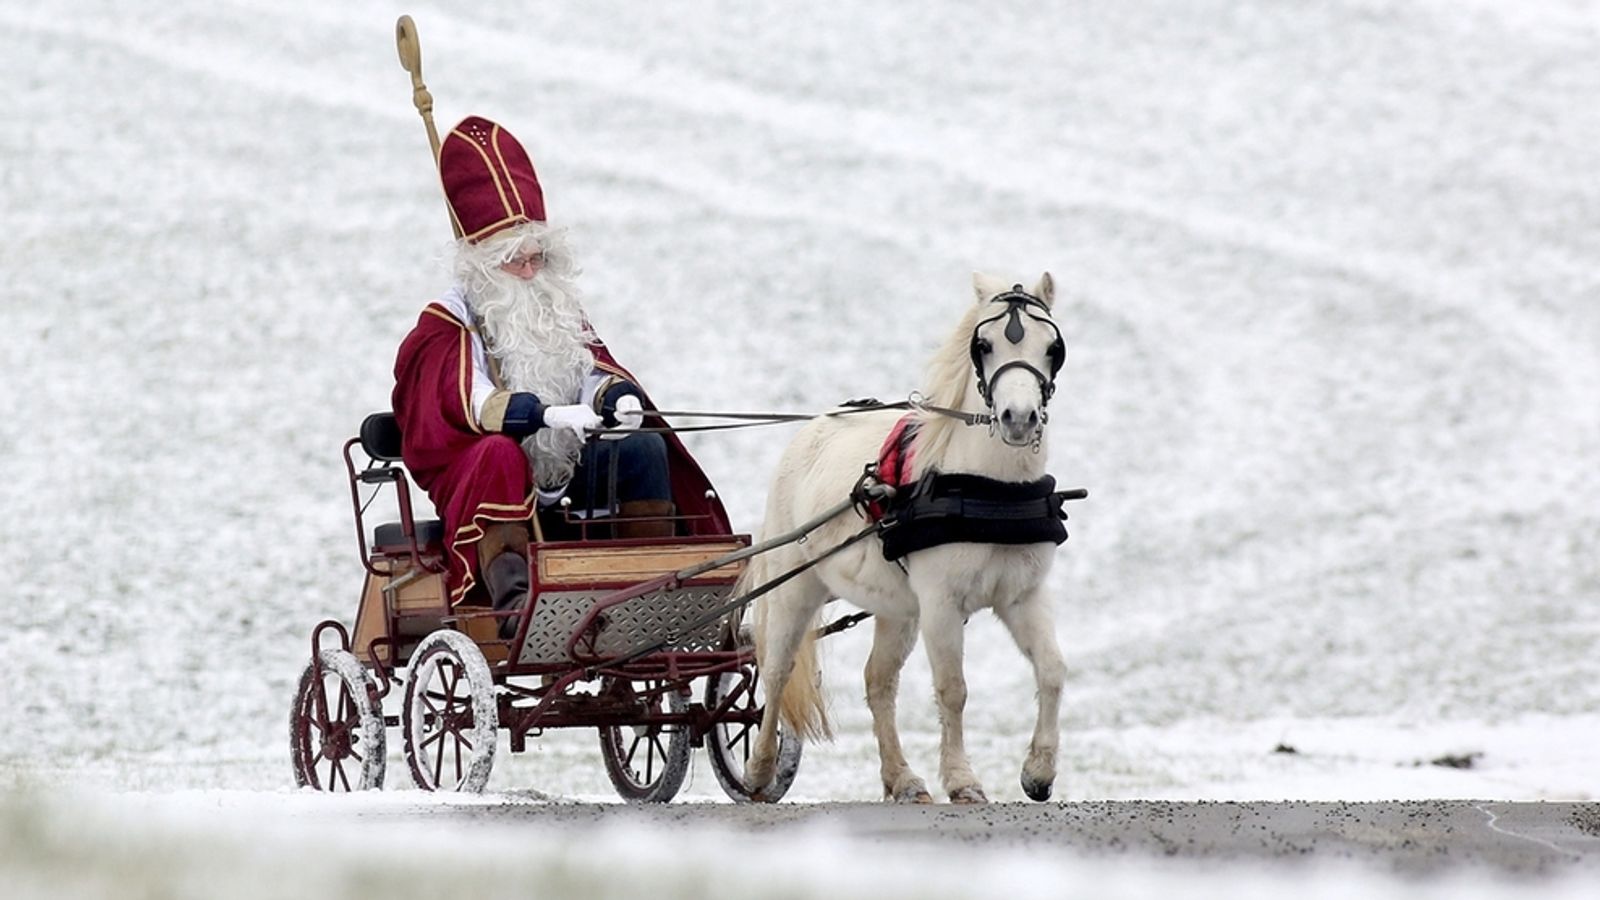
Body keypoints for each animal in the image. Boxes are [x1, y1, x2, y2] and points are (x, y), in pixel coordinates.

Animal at [745, 267, 1075, 797]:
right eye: (983, 345)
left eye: (1052, 347)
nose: (1019, 419)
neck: (990, 488)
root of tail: (812, 428)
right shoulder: (941, 603)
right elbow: (953, 689)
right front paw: (962, 780)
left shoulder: (1023, 596)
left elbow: (1052, 670)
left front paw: (1038, 771)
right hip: (795, 585)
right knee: (776, 671)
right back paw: (758, 770)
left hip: (898, 610)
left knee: (878, 681)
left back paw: (901, 778)